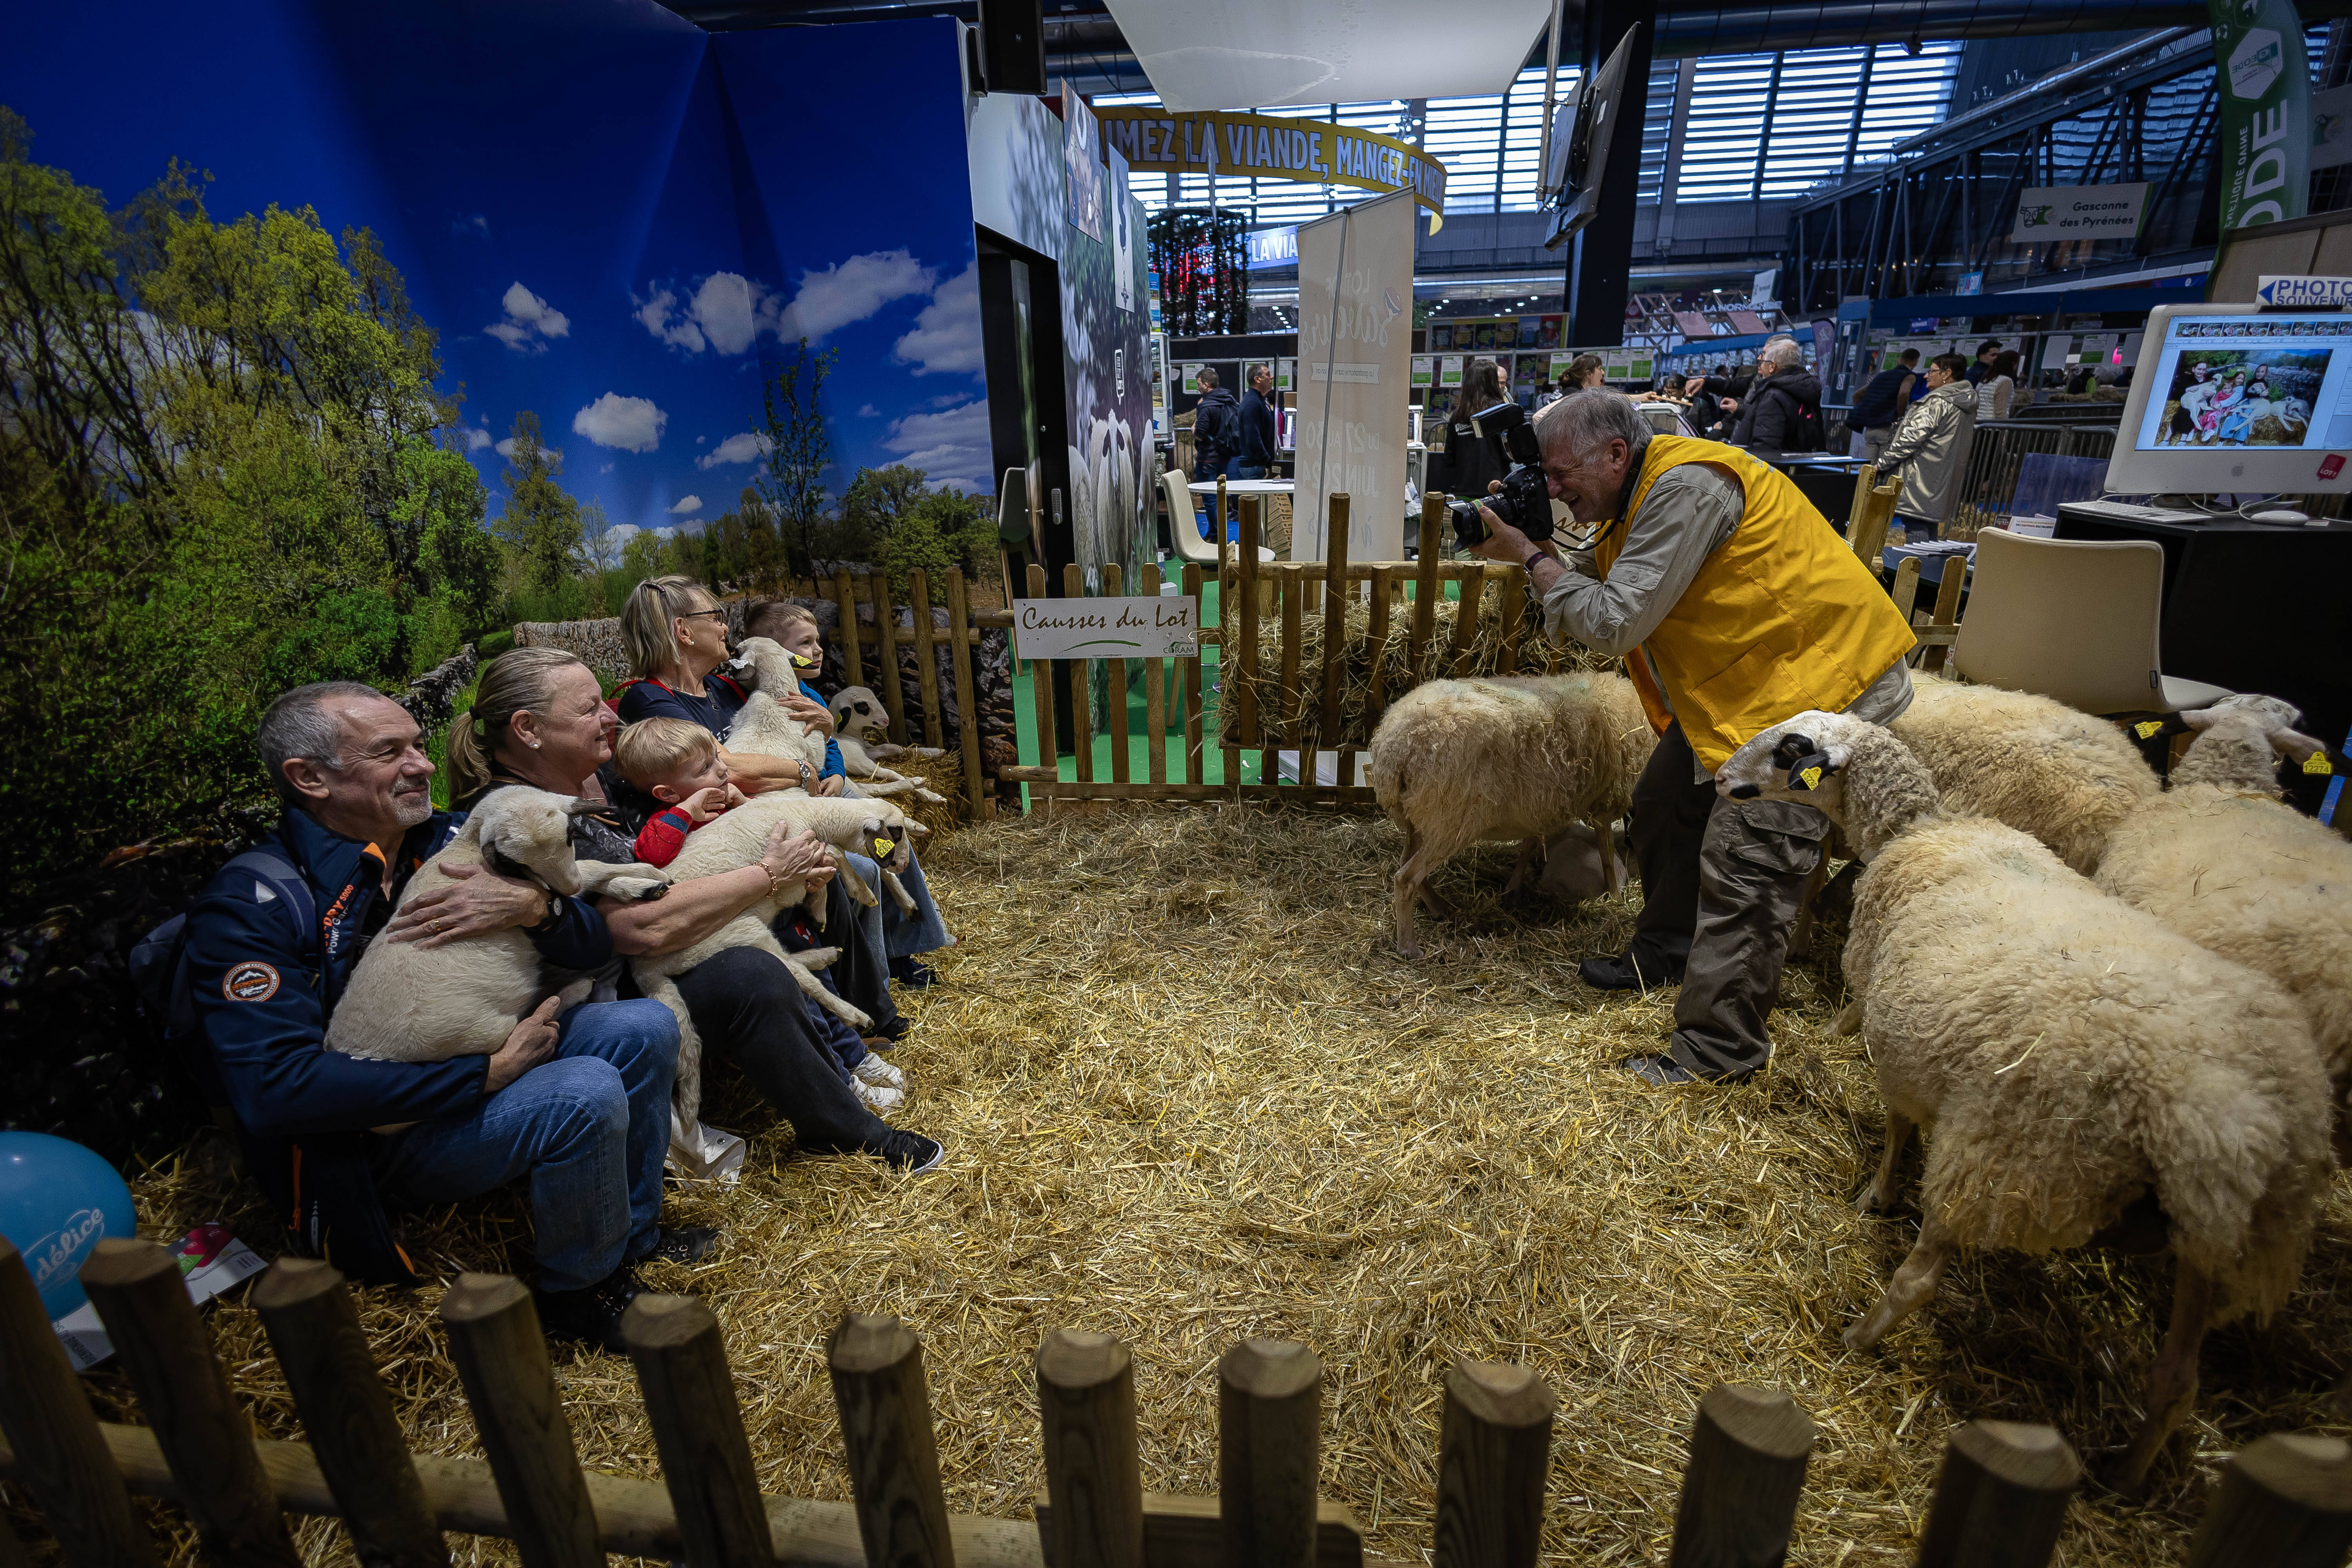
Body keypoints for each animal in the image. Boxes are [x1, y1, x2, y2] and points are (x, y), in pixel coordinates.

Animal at [327, 785, 673, 1067]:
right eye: (517, 862)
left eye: (570, 836)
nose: (569, 889)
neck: (465, 846)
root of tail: (345, 1048)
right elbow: (593, 868)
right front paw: (649, 875)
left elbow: (589, 874)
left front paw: (643, 887)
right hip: (483, 1033)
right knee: (533, 1025)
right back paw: (577, 989)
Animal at [1364, 672, 1656, 964]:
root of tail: (1394, 748)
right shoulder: (1605, 801)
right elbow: (1606, 856)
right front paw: (1616, 895)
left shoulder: (1535, 806)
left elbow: (1528, 847)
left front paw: (1513, 890)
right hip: (1450, 820)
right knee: (1406, 878)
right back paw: (1409, 947)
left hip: (1420, 815)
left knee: (1406, 863)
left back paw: (1438, 906)